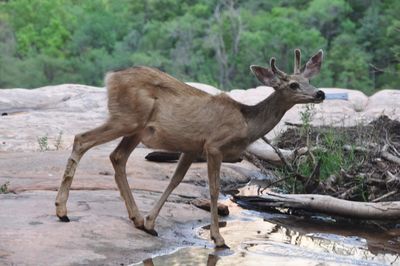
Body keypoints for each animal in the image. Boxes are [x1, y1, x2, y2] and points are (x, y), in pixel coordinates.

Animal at [55, 48, 324, 248]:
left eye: (308, 80)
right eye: (293, 85)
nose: (320, 93)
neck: (247, 122)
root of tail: (110, 77)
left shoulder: (192, 147)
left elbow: (175, 181)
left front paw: (150, 223)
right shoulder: (214, 145)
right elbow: (214, 189)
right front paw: (218, 238)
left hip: (136, 129)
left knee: (117, 156)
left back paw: (136, 219)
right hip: (126, 119)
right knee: (81, 139)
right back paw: (62, 211)